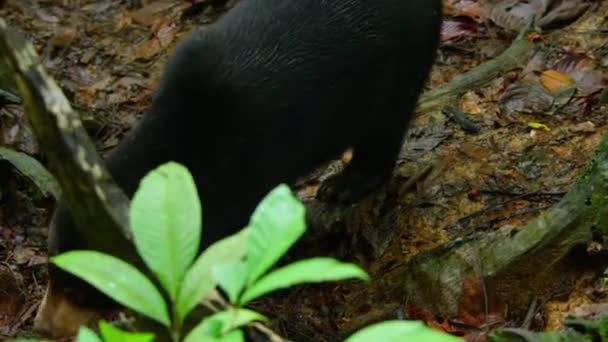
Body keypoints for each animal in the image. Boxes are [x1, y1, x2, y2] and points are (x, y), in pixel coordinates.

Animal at [33, 0, 442, 336]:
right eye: (51, 270)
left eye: (78, 289)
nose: (43, 327)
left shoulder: (244, 171)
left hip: (397, 67)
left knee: (384, 128)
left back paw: (346, 184)